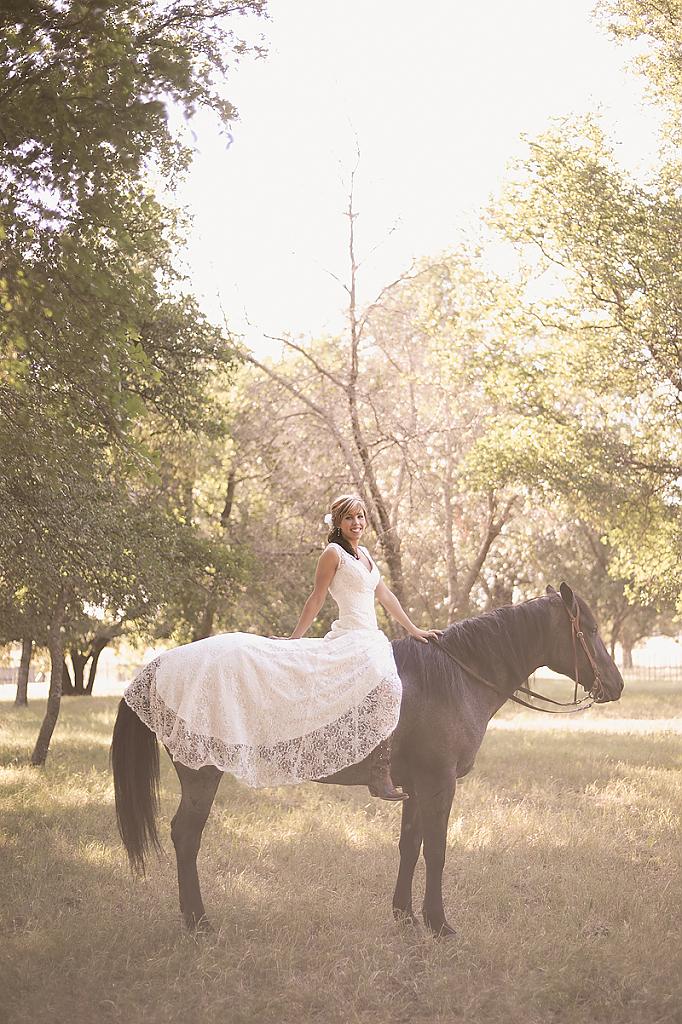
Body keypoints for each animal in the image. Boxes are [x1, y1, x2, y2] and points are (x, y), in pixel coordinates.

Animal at [110, 585, 622, 937]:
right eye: (591, 630)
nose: (616, 685)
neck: (452, 677)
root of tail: (157, 667)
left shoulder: (416, 786)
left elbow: (410, 846)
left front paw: (405, 916)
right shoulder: (439, 784)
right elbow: (436, 851)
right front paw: (439, 924)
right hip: (202, 775)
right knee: (186, 836)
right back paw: (198, 922)